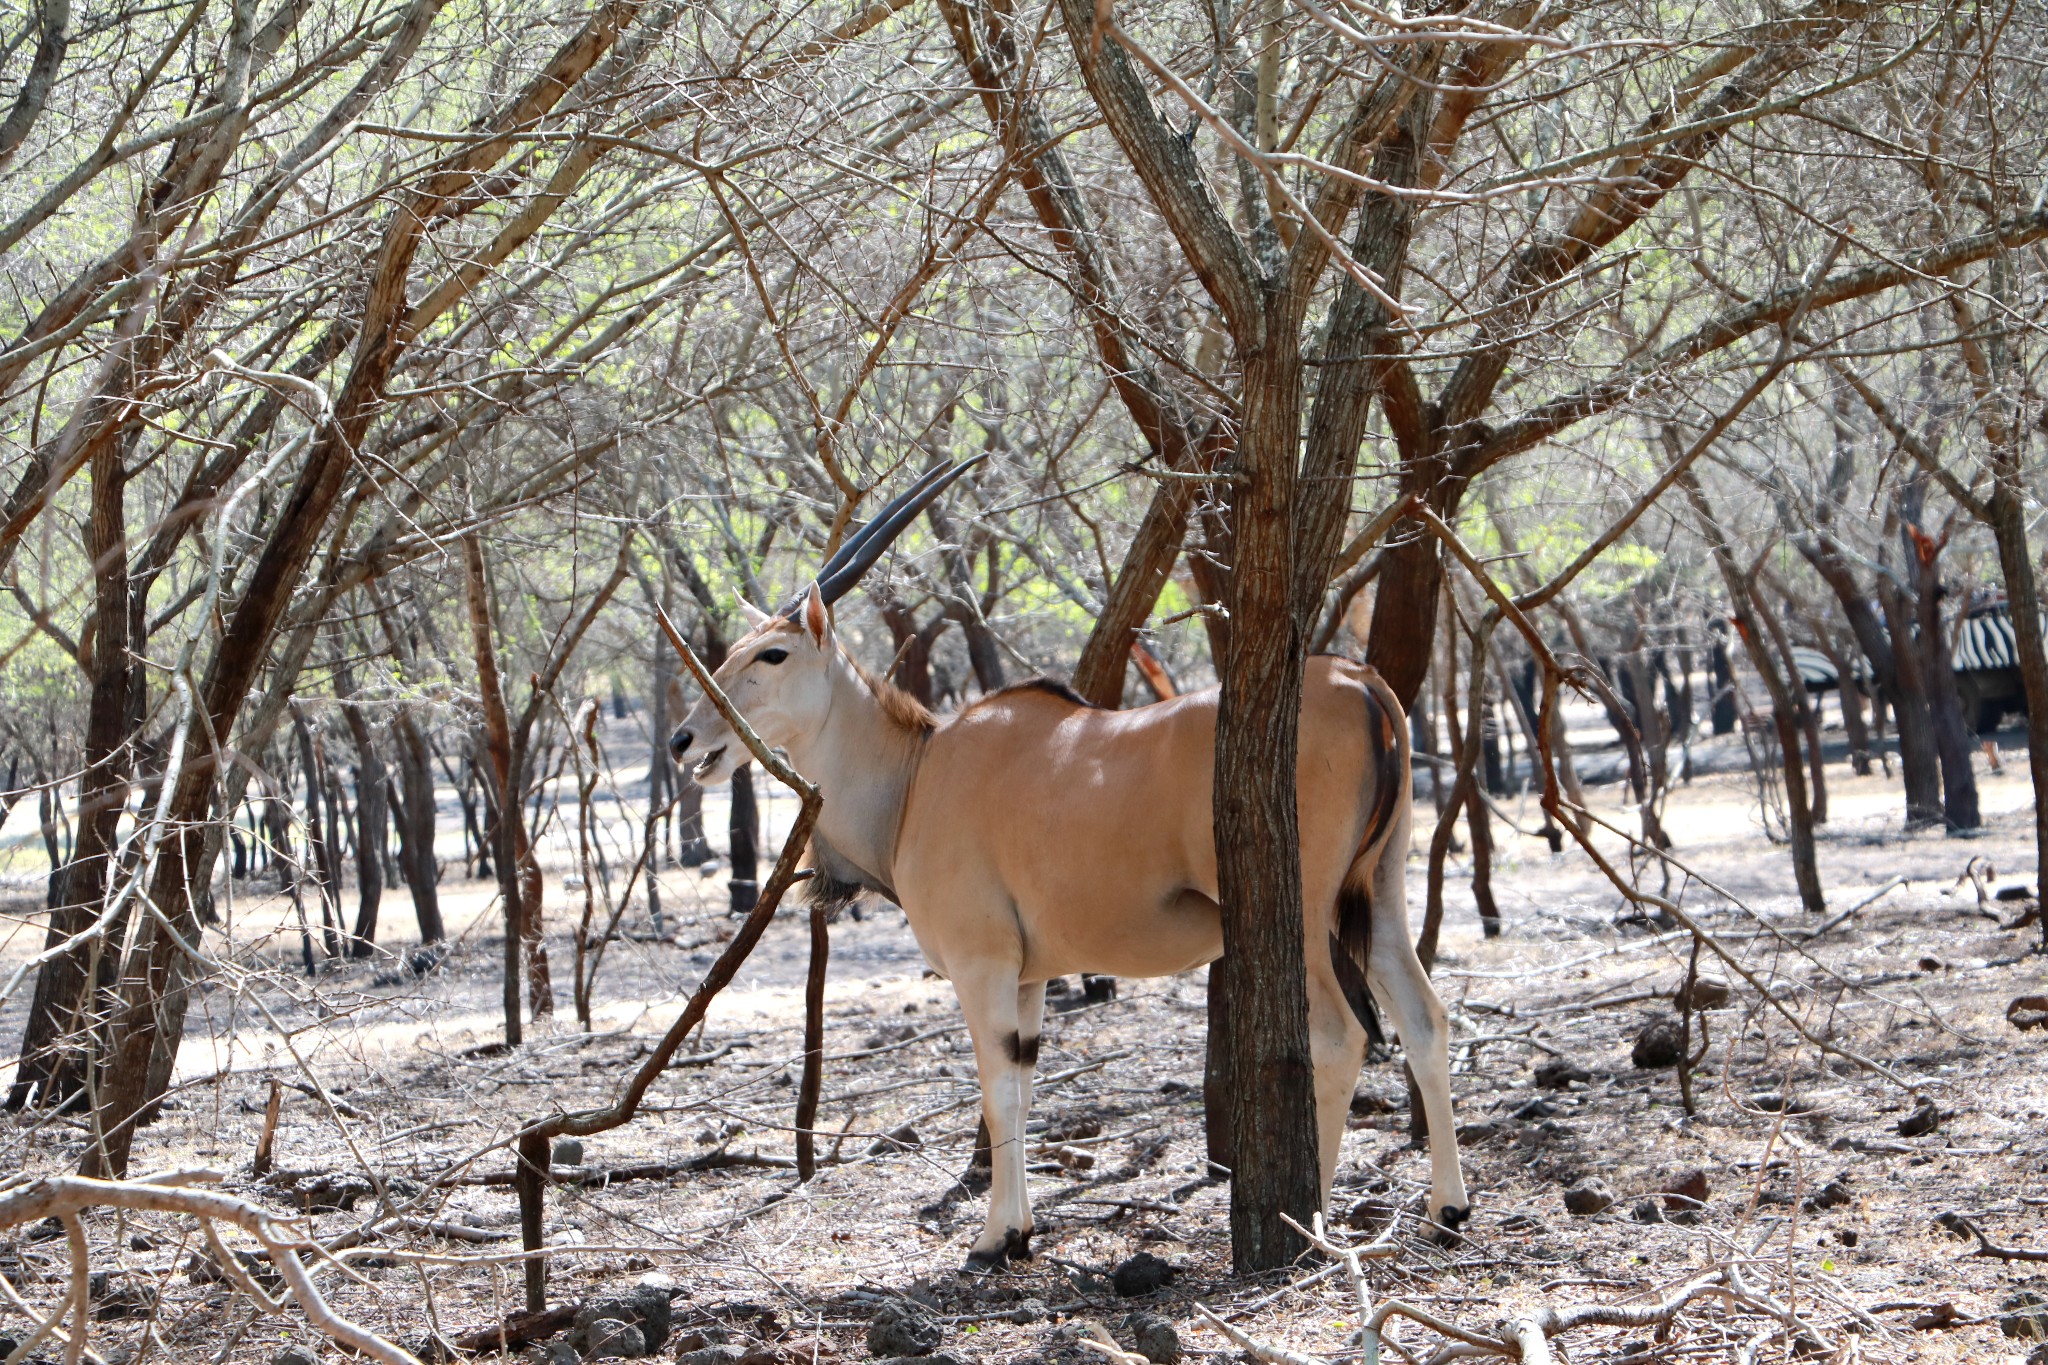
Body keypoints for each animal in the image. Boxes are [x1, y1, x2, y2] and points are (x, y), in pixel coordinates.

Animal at [663, 462, 1466, 1268]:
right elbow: (1022, 1083)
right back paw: (1447, 1212)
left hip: (1305, 913)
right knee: (1425, 1018)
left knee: (1340, 1034)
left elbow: (995, 1088)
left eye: (772, 654)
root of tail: (1362, 683)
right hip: (1379, 895)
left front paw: (993, 1237)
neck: (918, 773)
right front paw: (1022, 1228)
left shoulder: (982, 964)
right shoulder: (1028, 977)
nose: (682, 739)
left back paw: (1313, 1224)